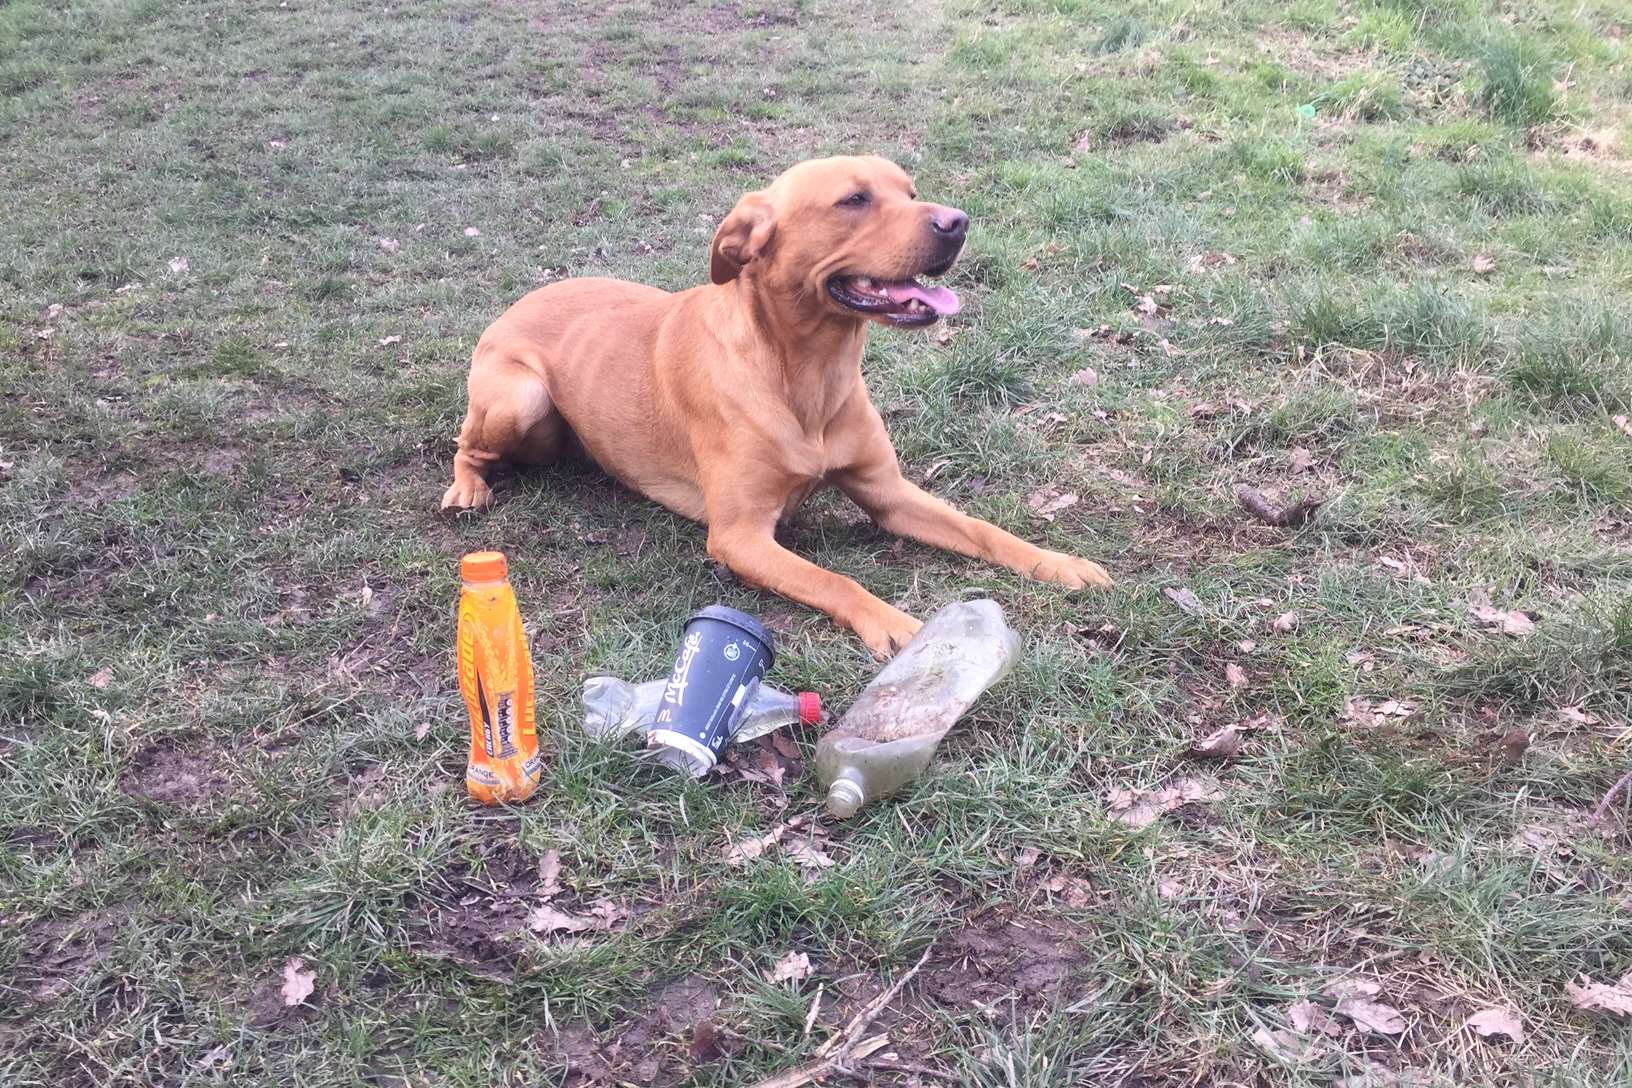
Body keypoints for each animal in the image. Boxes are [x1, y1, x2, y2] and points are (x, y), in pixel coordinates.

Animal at [440, 154, 1116, 655]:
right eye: (854, 200)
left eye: (910, 190)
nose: (959, 222)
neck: (808, 374)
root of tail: (522, 299)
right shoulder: (739, 537)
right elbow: (834, 578)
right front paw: (891, 621)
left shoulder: (889, 494)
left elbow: (983, 528)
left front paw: (1055, 562)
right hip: (519, 399)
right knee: (464, 444)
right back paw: (468, 487)